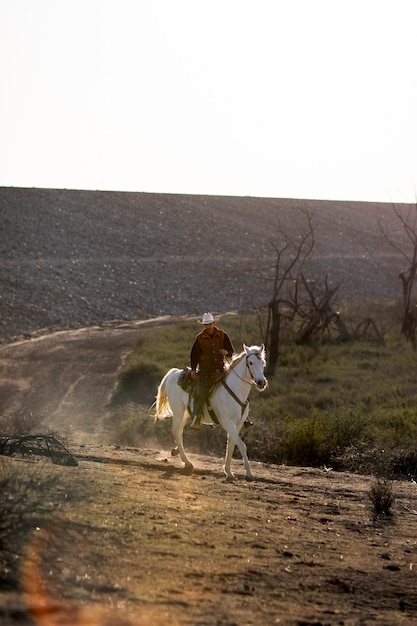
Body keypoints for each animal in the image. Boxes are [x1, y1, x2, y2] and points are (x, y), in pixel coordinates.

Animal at [153, 344, 266, 480]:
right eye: (251, 362)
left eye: (263, 363)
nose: (261, 382)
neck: (235, 389)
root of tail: (174, 373)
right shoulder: (228, 423)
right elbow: (242, 445)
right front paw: (248, 473)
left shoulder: (238, 425)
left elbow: (231, 446)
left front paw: (228, 471)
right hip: (178, 412)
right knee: (175, 431)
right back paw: (187, 462)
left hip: (186, 415)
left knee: (179, 432)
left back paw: (179, 455)